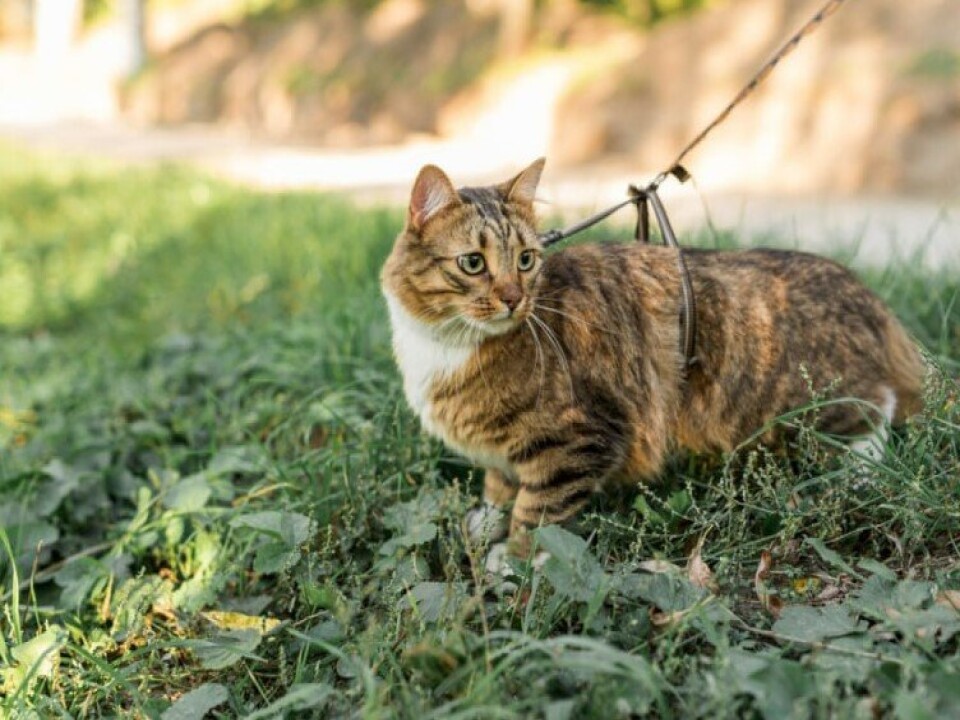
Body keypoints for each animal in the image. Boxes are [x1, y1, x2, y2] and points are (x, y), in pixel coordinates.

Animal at [378, 158, 928, 572]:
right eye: (473, 263)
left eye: (525, 260)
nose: (514, 299)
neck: (444, 344)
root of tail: (864, 292)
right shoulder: (506, 446)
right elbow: (499, 484)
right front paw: (487, 520)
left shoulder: (579, 437)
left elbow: (536, 511)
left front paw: (512, 558)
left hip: (809, 404)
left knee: (877, 411)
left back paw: (859, 474)